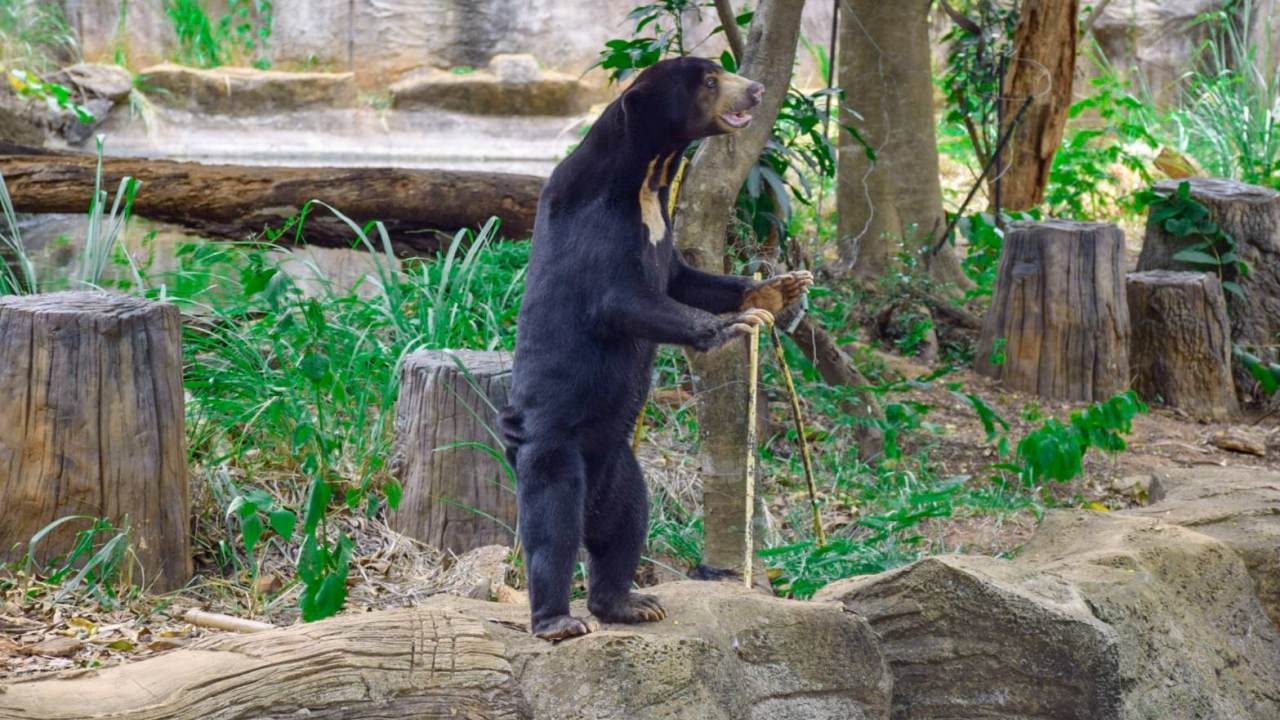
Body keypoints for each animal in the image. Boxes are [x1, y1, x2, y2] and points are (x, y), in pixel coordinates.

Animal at [496, 56, 808, 638]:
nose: (757, 90)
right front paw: (735, 324)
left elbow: (683, 278)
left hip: (620, 463)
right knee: (552, 524)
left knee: (622, 523)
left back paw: (628, 603)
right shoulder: (597, 222)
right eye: (710, 81)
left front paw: (780, 289)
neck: (647, 175)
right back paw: (559, 621)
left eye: (722, 72)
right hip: (552, 445)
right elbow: (623, 302)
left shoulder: (662, 224)